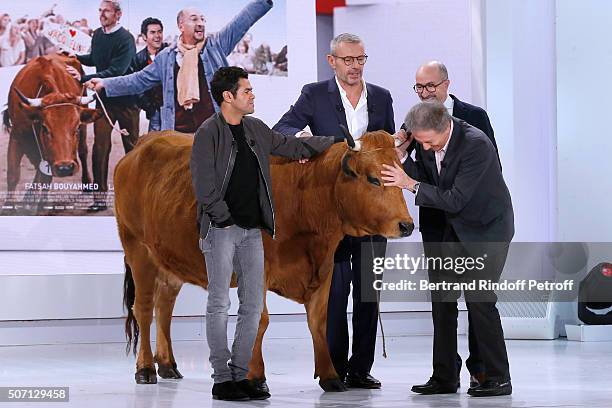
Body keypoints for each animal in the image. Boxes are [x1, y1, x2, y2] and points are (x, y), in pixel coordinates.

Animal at [3, 54, 100, 201]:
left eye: (76, 127)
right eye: (45, 128)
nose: (65, 168)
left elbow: (45, 178)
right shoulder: (16, 137)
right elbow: (13, 175)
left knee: (83, 151)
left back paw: (87, 183)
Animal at [113, 131, 412, 392]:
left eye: (401, 175)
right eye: (374, 180)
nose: (407, 225)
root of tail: (144, 143)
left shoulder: (324, 268)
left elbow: (318, 320)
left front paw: (330, 376)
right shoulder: (259, 268)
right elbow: (260, 320)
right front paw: (255, 378)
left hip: (169, 261)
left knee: (164, 306)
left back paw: (167, 364)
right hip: (137, 249)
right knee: (143, 308)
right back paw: (145, 368)